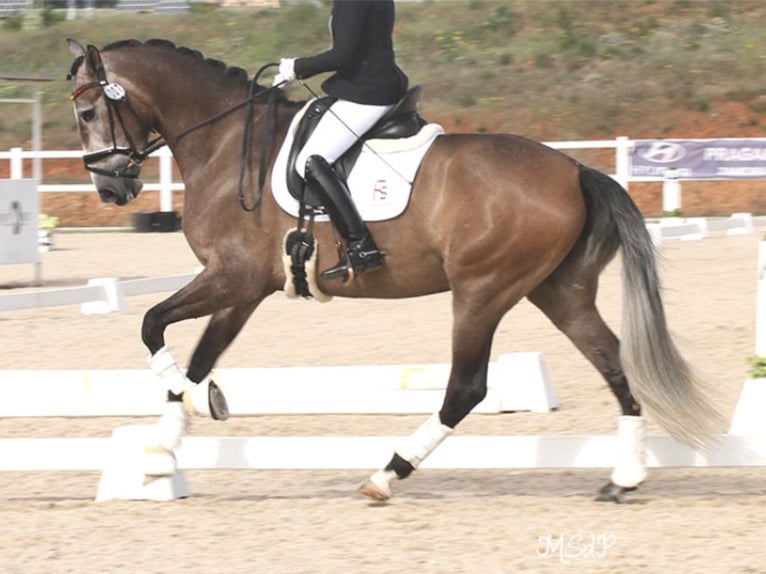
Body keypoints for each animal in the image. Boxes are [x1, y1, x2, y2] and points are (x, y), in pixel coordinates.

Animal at [66, 38, 728, 504]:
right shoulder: (243, 288)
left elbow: (151, 325)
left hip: (483, 291)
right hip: (558, 291)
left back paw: (387, 474)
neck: (228, 143)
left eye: (89, 110)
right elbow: (199, 355)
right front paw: (165, 448)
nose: (112, 189)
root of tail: (575, 170)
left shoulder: (233, 278)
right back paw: (625, 478)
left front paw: (190, 413)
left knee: (466, 388)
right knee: (614, 363)